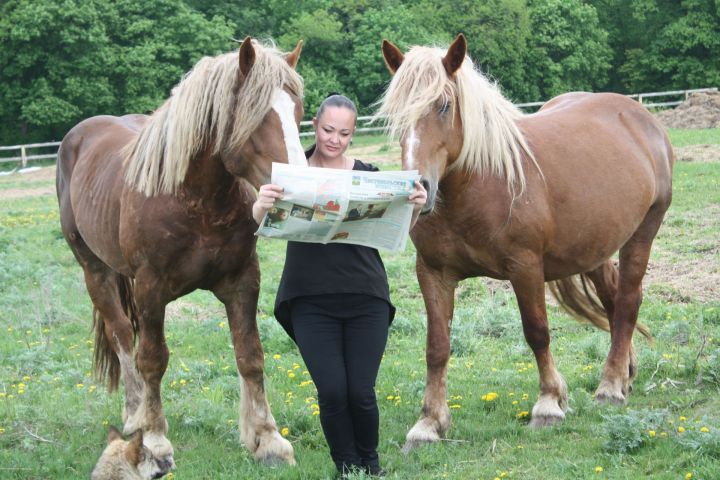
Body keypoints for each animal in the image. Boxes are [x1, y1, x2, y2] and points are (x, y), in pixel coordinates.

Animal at [54, 38, 304, 472]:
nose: (302, 186)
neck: (196, 199)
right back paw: (134, 414)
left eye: (298, 109)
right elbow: (153, 359)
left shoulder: (243, 281)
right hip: (94, 270)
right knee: (122, 334)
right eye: (257, 116)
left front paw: (268, 440)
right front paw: (155, 440)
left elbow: (250, 356)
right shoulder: (151, 289)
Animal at [376, 35, 676, 452]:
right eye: (396, 112)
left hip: (642, 232)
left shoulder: (525, 267)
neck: (481, 183)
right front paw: (429, 424)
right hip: (595, 247)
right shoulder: (433, 272)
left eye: (444, 105)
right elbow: (436, 347)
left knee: (628, 301)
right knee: (614, 303)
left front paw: (548, 404)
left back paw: (610, 387)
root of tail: (640, 116)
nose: (419, 189)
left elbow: (537, 332)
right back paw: (625, 374)